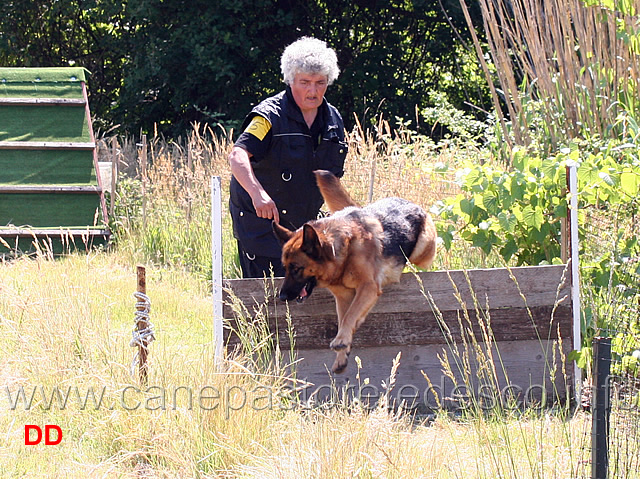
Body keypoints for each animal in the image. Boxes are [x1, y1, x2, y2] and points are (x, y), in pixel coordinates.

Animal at [272, 171, 438, 374]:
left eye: (296, 268)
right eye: (285, 267)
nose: (282, 297)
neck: (342, 254)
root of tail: (410, 203)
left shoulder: (368, 287)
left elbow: (350, 315)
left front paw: (341, 340)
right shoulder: (343, 297)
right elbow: (345, 318)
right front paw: (342, 353)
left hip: (423, 251)